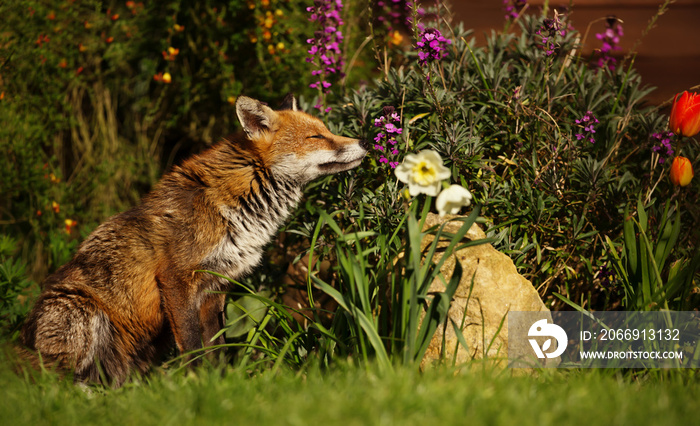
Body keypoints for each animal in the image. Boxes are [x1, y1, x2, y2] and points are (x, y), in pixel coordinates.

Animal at [19, 94, 370, 386]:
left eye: (326, 130)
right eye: (316, 137)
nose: (365, 140)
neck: (233, 205)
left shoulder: (216, 286)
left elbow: (216, 346)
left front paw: (218, 385)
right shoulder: (176, 279)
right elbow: (191, 345)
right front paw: (195, 384)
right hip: (82, 316)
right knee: (52, 384)